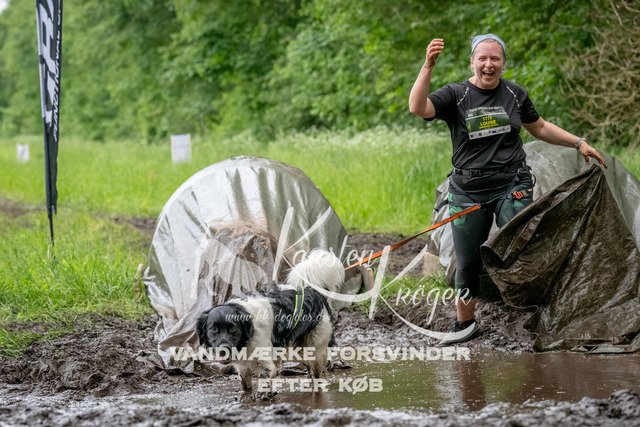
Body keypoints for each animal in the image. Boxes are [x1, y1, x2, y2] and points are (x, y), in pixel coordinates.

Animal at [196, 249, 344, 392]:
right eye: (213, 329)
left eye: (233, 328)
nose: (223, 350)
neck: (249, 332)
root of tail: (313, 290)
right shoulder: (243, 367)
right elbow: (246, 384)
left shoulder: (266, 362)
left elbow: (265, 379)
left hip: (316, 345)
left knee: (317, 370)